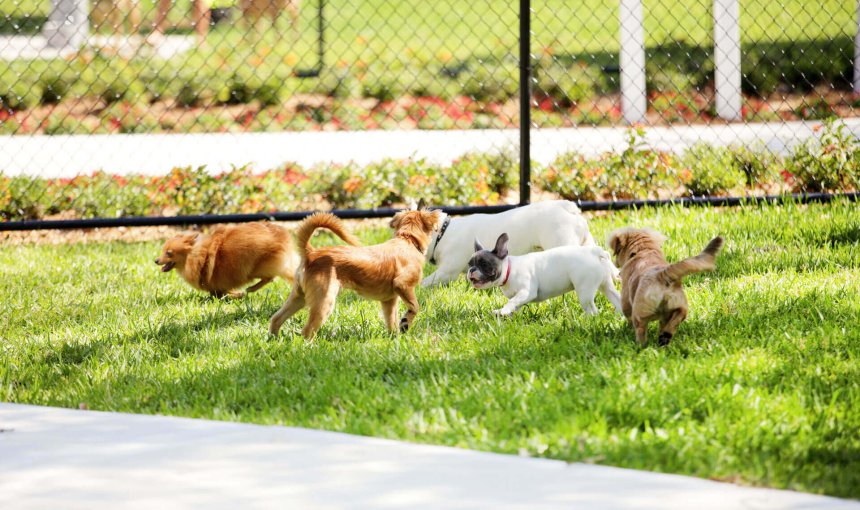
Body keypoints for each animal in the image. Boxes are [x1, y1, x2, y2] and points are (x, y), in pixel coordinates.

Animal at [155, 223, 298, 298]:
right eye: (163, 250)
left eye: (169, 253)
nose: (156, 260)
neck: (197, 256)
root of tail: (281, 235)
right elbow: (225, 291)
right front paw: (237, 294)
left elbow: (219, 293)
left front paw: (237, 294)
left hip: (256, 268)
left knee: (270, 278)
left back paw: (251, 288)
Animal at [268, 209, 440, 340]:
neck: (407, 240)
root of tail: (311, 253)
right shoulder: (403, 285)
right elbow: (415, 306)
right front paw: (405, 322)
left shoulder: (389, 301)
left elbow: (391, 320)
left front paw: (395, 338)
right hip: (324, 300)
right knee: (307, 330)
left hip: (299, 297)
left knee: (276, 319)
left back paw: (274, 340)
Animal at [466, 233, 620, 316]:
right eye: (469, 264)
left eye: (484, 264)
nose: (471, 270)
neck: (509, 269)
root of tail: (595, 252)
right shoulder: (521, 297)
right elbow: (516, 304)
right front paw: (506, 314)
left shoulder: (527, 292)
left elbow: (512, 301)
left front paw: (504, 311)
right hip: (606, 285)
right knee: (616, 298)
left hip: (584, 291)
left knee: (592, 310)